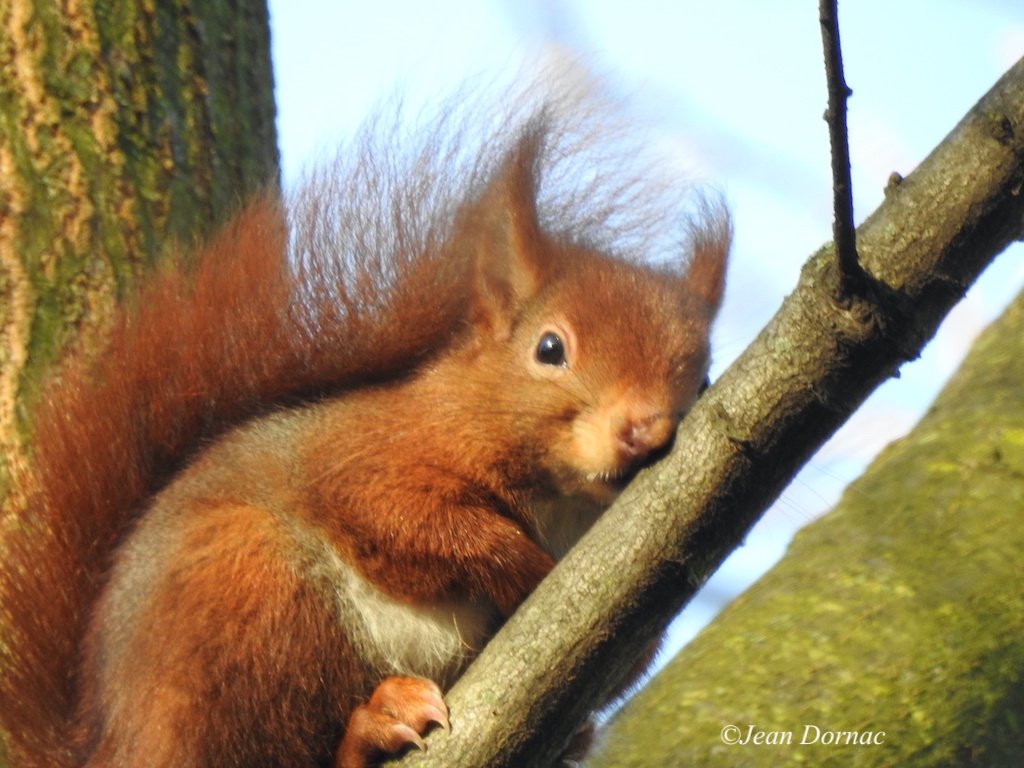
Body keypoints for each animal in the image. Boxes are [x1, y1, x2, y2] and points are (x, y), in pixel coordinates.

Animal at [0, 96, 728, 768]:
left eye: (702, 377)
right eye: (550, 349)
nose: (641, 430)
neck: (563, 501)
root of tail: (112, 745)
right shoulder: (372, 448)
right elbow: (407, 516)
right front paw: (527, 567)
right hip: (247, 597)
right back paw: (374, 727)